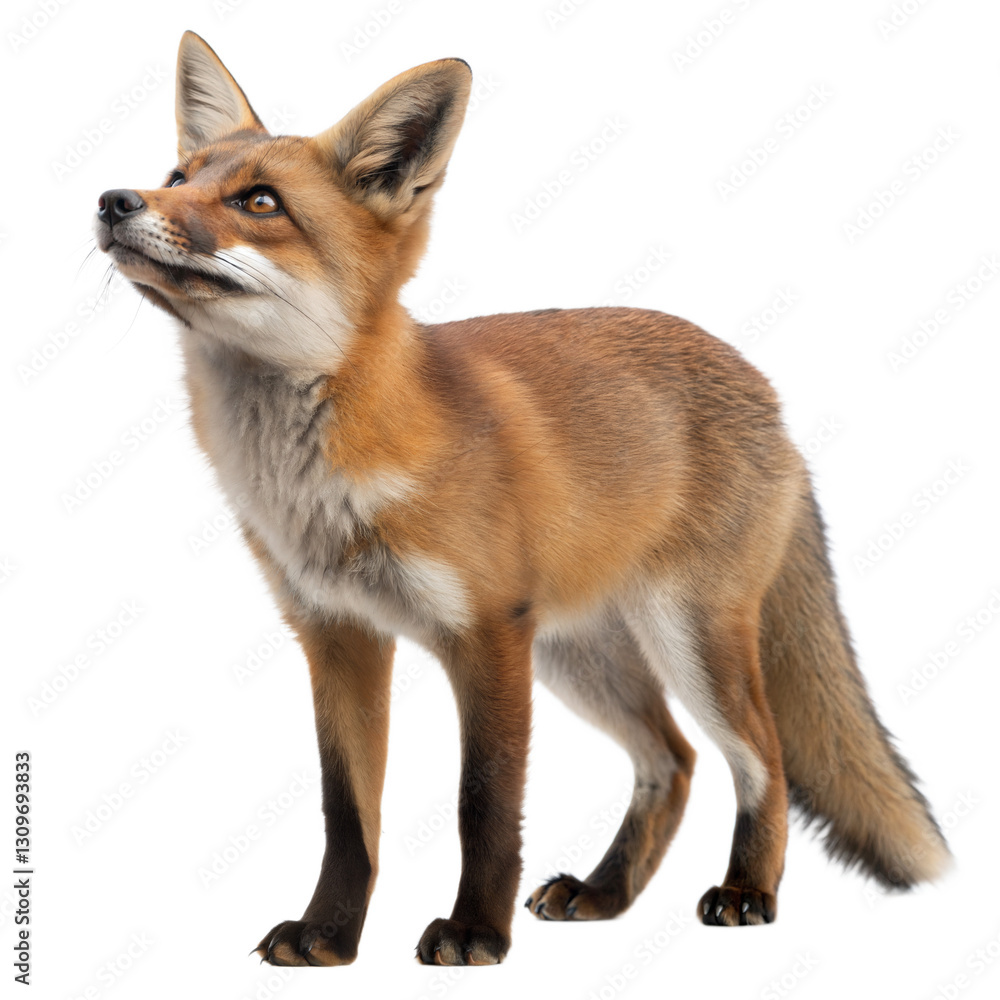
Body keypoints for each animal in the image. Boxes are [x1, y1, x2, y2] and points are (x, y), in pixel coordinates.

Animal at [94, 31, 950, 967]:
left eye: (259, 202)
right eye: (179, 176)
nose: (114, 200)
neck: (320, 482)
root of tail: (766, 389)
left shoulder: (487, 636)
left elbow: (485, 806)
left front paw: (475, 932)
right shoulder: (337, 634)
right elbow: (346, 814)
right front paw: (328, 936)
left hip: (686, 638)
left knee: (763, 760)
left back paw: (746, 891)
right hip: (580, 656)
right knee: (674, 761)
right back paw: (607, 893)